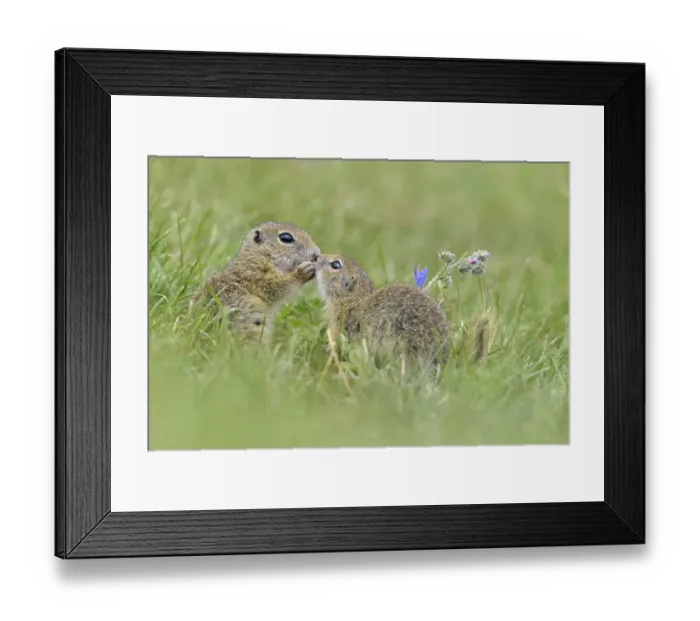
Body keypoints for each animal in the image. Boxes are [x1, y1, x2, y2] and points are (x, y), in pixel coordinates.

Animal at [190, 221, 320, 343]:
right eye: (286, 238)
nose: (317, 254)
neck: (260, 255)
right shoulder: (259, 276)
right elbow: (278, 287)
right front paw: (302, 272)